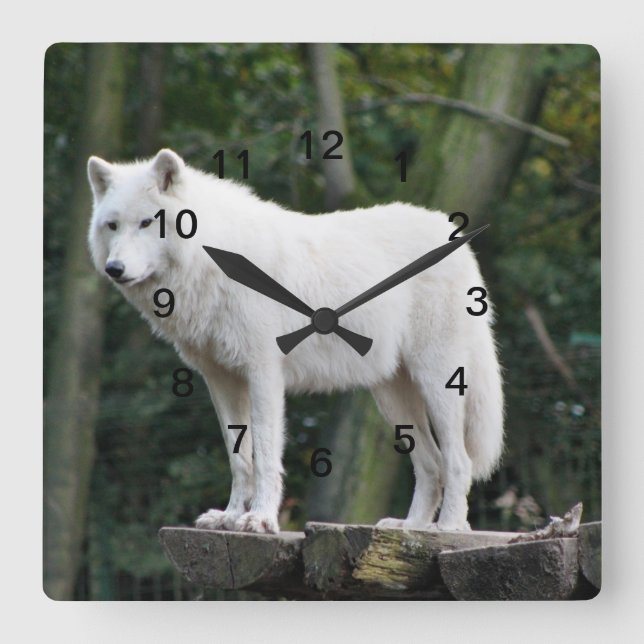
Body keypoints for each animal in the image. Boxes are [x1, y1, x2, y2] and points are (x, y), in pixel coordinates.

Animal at [87, 148, 504, 534]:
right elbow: (239, 458)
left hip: (436, 382)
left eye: (147, 222)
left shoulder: (264, 373)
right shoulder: (221, 380)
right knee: (431, 465)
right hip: (392, 395)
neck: (209, 259)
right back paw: (410, 527)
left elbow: (265, 454)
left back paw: (449, 527)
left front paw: (260, 519)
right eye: (112, 225)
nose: (114, 269)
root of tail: (458, 241)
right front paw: (230, 517)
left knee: (458, 460)